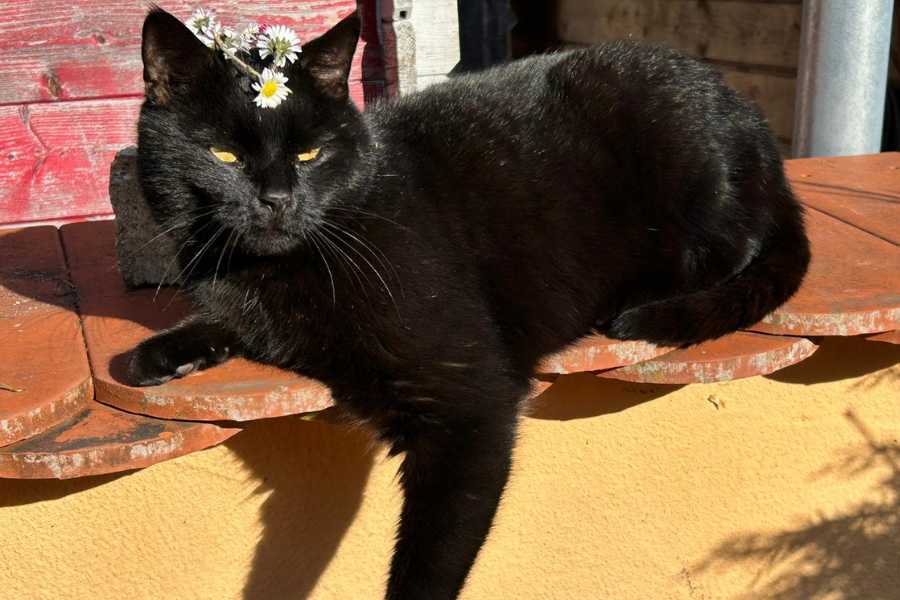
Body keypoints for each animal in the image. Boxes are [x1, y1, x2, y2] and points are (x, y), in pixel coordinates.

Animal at [128, 7, 808, 596]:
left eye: (308, 153)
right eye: (224, 154)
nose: (275, 199)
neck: (271, 272)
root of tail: (757, 133)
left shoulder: (466, 400)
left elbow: (429, 563)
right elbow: (225, 320)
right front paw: (162, 352)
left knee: (731, 247)